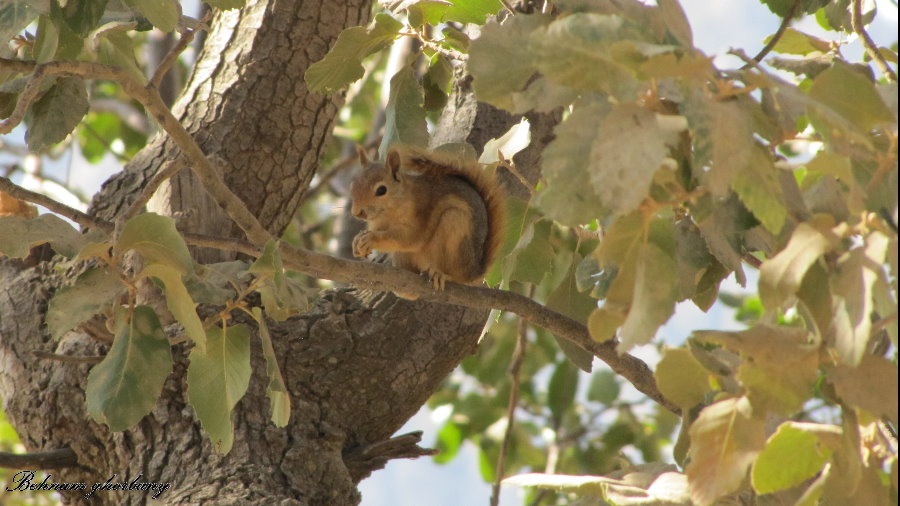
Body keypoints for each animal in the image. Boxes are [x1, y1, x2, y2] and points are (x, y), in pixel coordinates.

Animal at [349, 145, 506, 292]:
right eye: (352, 185)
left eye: (381, 190)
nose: (356, 213)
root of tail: (475, 271)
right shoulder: (377, 224)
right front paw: (357, 240)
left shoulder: (419, 215)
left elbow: (408, 238)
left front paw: (371, 239)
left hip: (454, 226)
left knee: (458, 276)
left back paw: (443, 275)